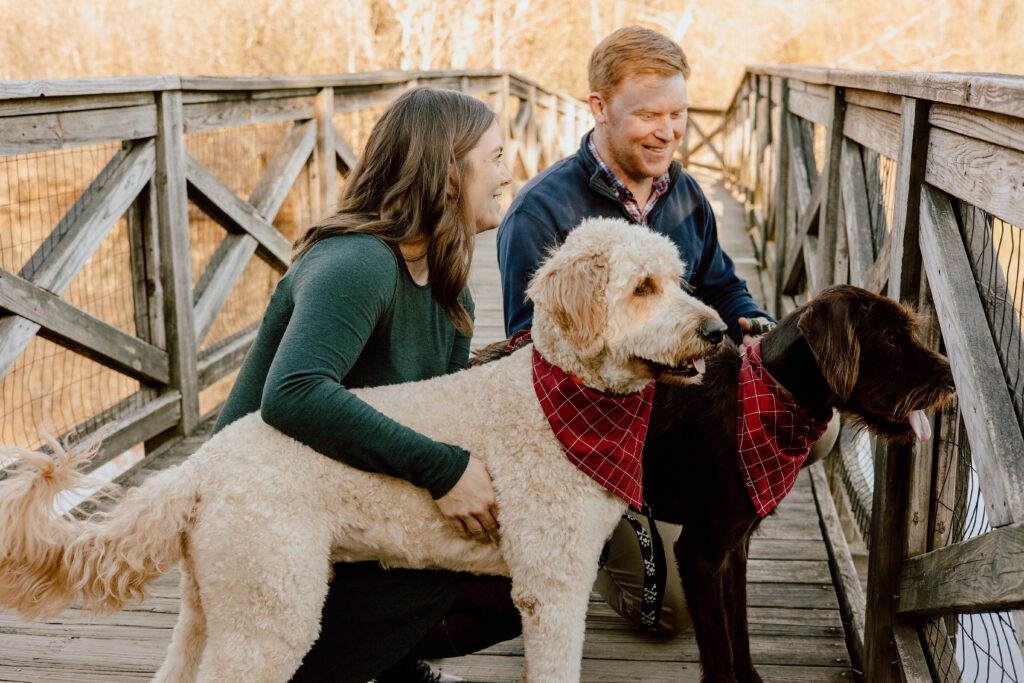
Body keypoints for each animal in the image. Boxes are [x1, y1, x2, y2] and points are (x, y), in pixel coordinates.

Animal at [0, 218, 720, 679]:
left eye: (680, 279)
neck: (563, 400)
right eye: (642, 287)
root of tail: (204, 462)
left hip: (213, 601)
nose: (716, 330)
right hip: (272, 607)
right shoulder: (553, 585)